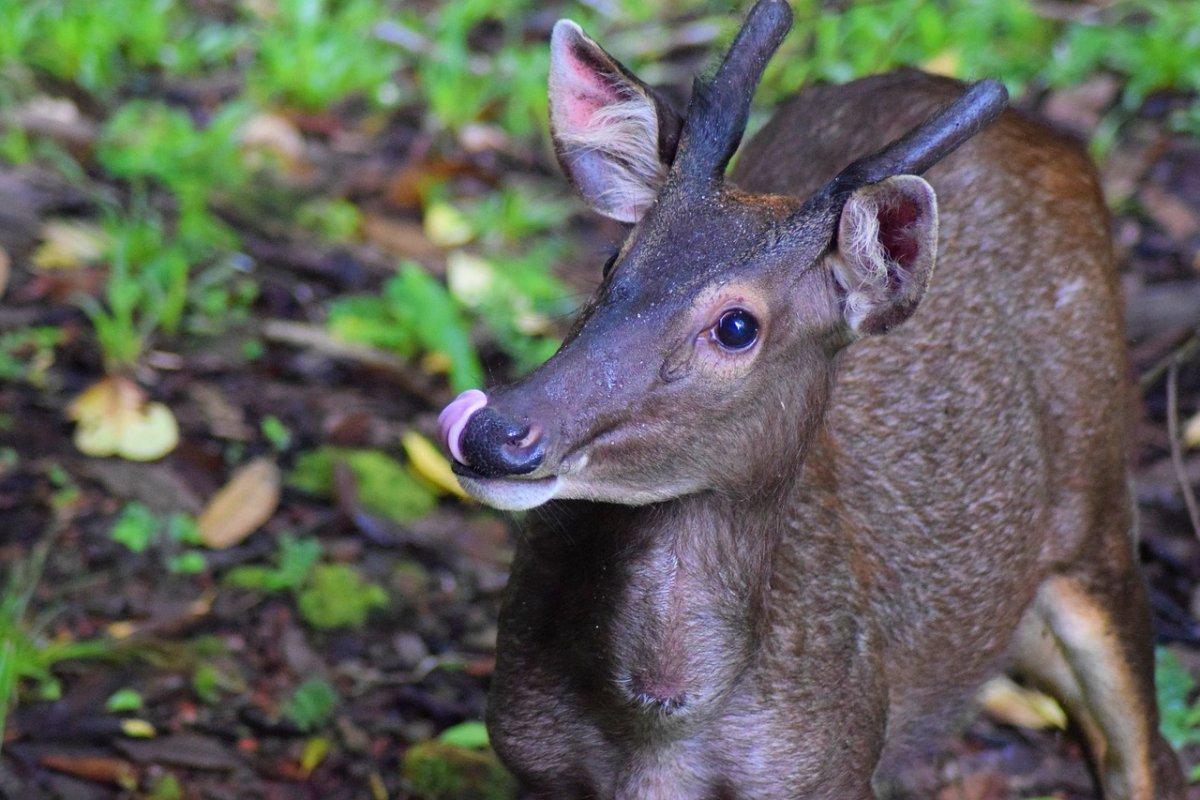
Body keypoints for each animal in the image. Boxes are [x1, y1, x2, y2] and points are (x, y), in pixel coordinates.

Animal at [434, 3, 1190, 796]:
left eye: (736, 325)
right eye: (614, 261)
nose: (491, 430)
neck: (658, 736)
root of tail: (1063, 143)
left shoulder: (835, 767)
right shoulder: (529, 757)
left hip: (1097, 499)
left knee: (1147, 751)